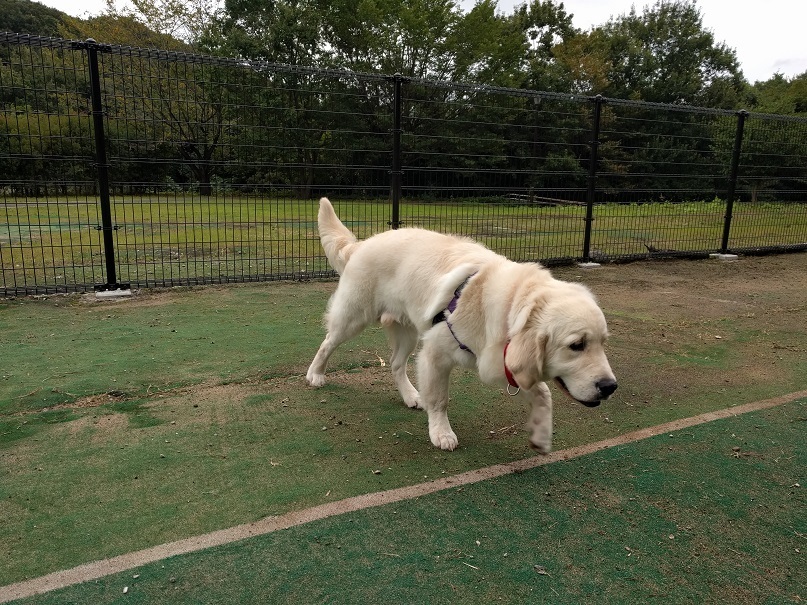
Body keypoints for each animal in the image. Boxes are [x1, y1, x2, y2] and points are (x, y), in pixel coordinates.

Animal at [304, 199, 620, 452]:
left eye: (602, 343)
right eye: (576, 345)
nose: (610, 387)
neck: (511, 306)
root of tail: (362, 244)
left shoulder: (504, 361)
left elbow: (544, 393)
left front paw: (541, 436)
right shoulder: (435, 353)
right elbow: (440, 400)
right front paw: (441, 433)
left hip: (407, 332)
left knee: (395, 364)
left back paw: (411, 396)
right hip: (354, 318)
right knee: (328, 342)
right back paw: (315, 374)